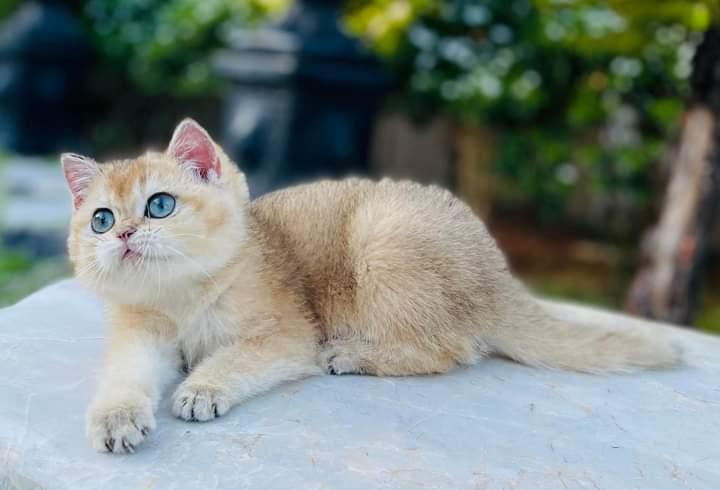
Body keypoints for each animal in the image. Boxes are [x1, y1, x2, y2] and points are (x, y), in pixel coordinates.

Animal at [63, 118, 680, 456]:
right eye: (100, 220)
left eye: (159, 206)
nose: (122, 234)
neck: (182, 298)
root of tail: (498, 273)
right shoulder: (139, 337)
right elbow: (123, 378)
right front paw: (116, 417)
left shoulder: (288, 335)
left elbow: (236, 356)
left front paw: (202, 388)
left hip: (381, 239)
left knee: (452, 348)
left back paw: (354, 354)